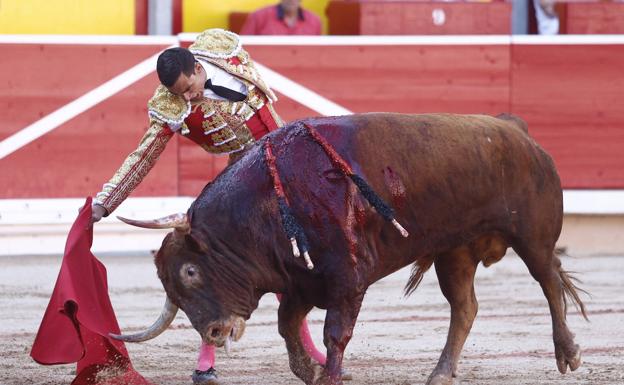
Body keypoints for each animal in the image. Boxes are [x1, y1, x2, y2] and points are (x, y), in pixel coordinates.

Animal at [114, 112, 588, 382]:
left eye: (190, 272)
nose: (213, 331)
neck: (270, 204)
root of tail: (515, 130)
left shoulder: (346, 282)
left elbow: (334, 334)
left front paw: (329, 376)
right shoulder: (301, 283)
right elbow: (288, 328)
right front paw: (310, 370)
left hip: (533, 235)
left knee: (548, 282)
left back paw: (568, 353)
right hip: (455, 252)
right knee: (465, 307)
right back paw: (440, 373)